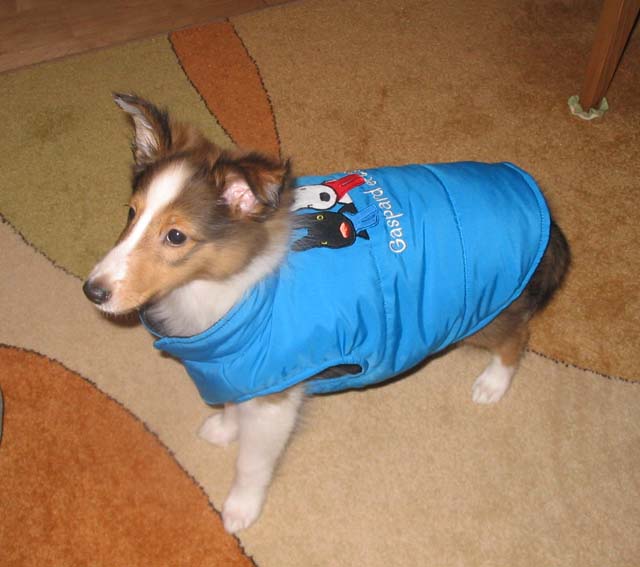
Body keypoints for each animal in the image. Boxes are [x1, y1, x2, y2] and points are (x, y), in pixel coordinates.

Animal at [83, 94, 570, 533]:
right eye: (130, 213)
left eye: (176, 236)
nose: (92, 291)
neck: (234, 287)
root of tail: (546, 215)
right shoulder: (241, 368)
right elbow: (232, 403)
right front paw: (224, 429)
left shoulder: (275, 398)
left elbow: (252, 463)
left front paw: (240, 509)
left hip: (486, 307)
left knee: (517, 336)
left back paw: (492, 384)